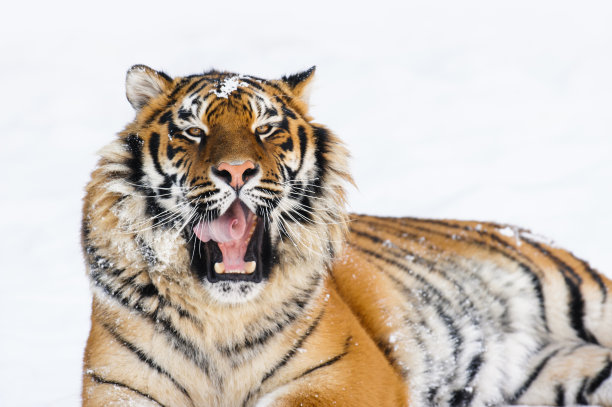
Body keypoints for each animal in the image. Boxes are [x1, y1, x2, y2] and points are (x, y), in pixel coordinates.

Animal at [82, 65, 612, 406]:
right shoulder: (117, 384)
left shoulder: (343, 374)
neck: (221, 316)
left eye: (266, 128)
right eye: (192, 130)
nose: (236, 171)